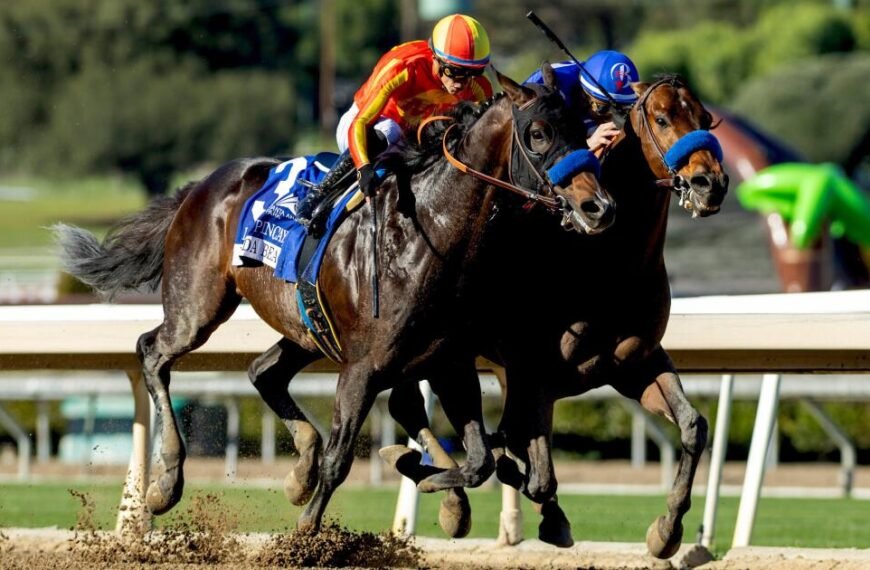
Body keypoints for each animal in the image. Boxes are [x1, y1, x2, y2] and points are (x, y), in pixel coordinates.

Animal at [53, 64, 614, 534]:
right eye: (538, 134)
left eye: (581, 128)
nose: (598, 206)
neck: (431, 234)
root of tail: (199, 186)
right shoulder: (362, 369)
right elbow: (343, 460)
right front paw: (308, 532)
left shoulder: (448, 362)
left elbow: (478, 461)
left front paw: (423, 475)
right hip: (199, 306)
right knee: (153, 351)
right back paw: (166, 482)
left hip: (306, 328)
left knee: (263, 371)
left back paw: (299, 469)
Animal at [383, 75, 729, 557]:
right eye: (662, 118)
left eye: (704, 118)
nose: (710, 183)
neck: (609, 262)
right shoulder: (536, 373)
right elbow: (531, 465)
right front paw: (545, 510)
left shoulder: (635, 363)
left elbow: (694, 426)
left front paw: (666, 531)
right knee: (408, 404)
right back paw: (443, 493)